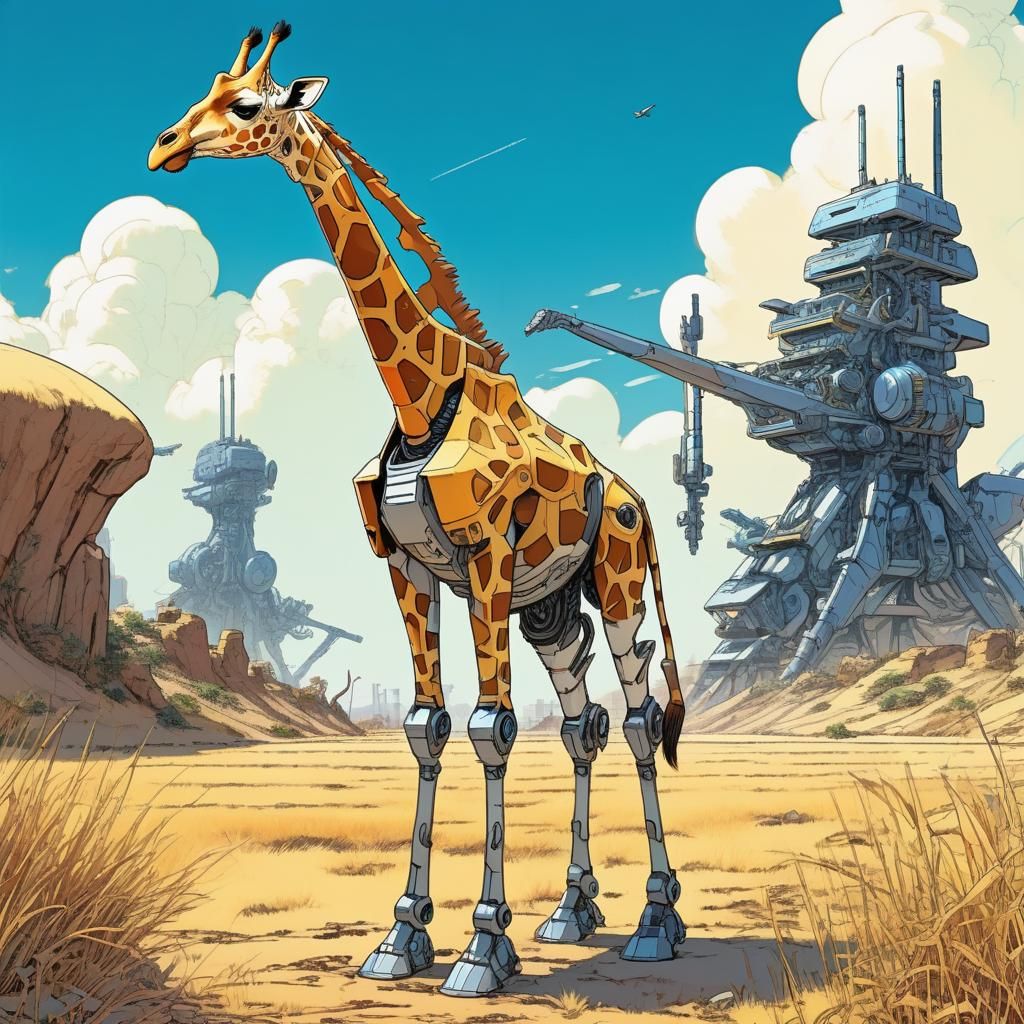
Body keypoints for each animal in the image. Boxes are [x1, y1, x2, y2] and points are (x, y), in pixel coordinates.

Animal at [149, 22, 688, 997]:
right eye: (203, 90)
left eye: (245, 105)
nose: (164, 147)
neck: (417, 397)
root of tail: (640, 502)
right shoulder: (406, 566)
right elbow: (427, 726)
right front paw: (402, 938)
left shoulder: (484, 560)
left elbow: (491, 727)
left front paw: (481, 948)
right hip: (552, 613)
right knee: (583, 724)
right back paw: (572, 911)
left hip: (620, 587)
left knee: (633, 720)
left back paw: (656, 922)